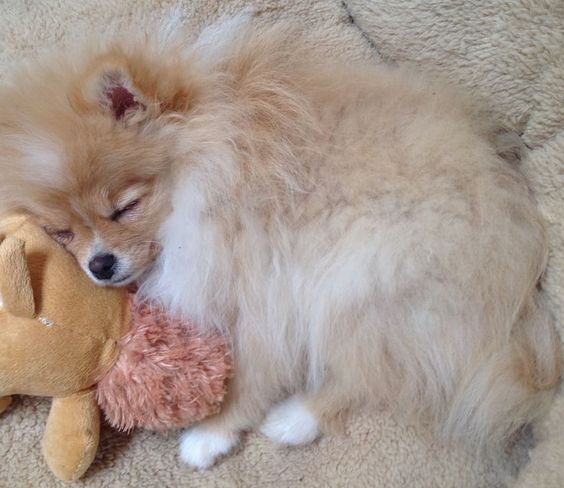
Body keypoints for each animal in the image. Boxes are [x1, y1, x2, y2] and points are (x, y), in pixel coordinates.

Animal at [0, 16, 560, 468]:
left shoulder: (265, 286)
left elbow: (253, 376)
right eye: (62, 231)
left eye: (125, 207)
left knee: (377, 372)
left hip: (368, 276)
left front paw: (210, 433)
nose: (100, 264)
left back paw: (297, 418)